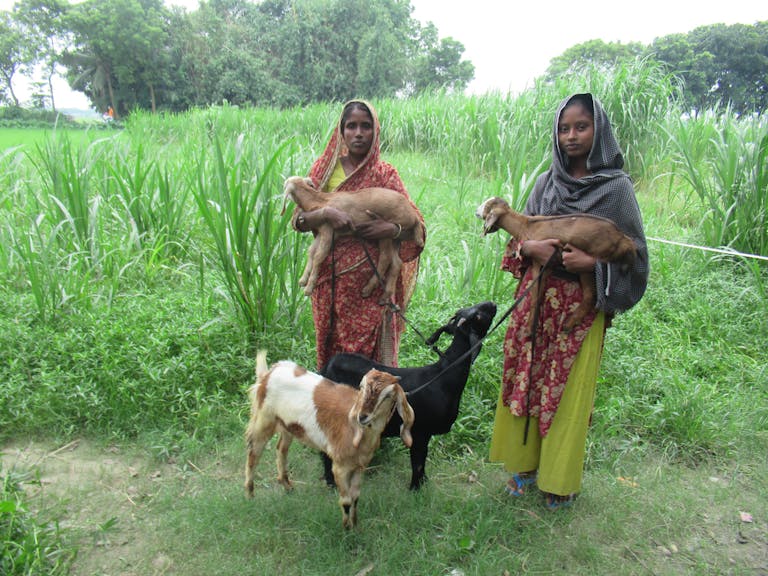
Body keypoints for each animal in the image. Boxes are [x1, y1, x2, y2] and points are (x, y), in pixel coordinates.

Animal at [246, 348, 414, 528]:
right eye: (361, 387)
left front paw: (355, 525)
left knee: (281, 449)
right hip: (264, 419)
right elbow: (346, 500)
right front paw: (347, 529)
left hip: (287, 425)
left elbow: (355, 497)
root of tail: (270, 372)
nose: (362, 417)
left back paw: (287, 486)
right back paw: (250, 494)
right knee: (253, 452)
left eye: (387, 396)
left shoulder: (359, 467)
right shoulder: (340, 467)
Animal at [282, 174, 426, 302]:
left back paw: (368, 288)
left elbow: (319, 256)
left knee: (385, 258)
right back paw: (385, 295)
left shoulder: (329, 230)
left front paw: (309, 288)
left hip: (386, 231)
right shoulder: (322, 232)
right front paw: (303, 280)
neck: (321, 201)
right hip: (395, 238)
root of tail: (414, 216)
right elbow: (311, 252)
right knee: (396, 262)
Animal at [318, 300, 498, 488]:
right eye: (478, 316)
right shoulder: (420, 431)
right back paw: (332, 482)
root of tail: (326, 367)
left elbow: (422, 462)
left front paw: (424, 484)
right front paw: (415, 488)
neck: (444, 374)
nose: (492, 303)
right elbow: (418, 462)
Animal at [474, 197, 636, 330]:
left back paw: (570, 323)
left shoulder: (539, 261)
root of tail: (623, 239)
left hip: (588, 262)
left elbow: (535, 295)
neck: (526, 225)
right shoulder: (549, 265)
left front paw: (529, 328)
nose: (476, 211)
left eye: (487, 206)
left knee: (591, 295)